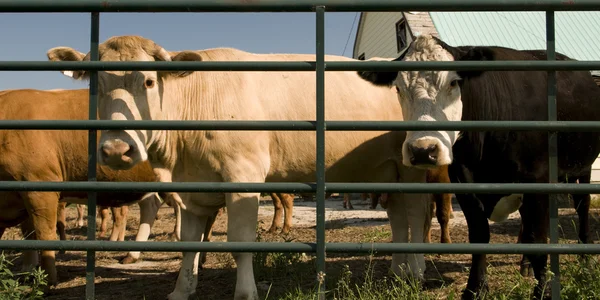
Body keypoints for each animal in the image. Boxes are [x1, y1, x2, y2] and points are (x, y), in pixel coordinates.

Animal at [45, 35, 432, 300]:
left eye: (150, 81)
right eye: (97, 83)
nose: (116, 149)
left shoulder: (243, 177)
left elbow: (241, 242)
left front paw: (245, 292)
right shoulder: (191, 190)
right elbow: (189, 244)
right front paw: (181, 290)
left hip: (412, 165)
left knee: (416, 216)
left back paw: (415, 272)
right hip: (389, 171)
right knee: (399, 218)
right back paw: (397, 271)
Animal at [356, 33, 600, 300]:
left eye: (454, 83)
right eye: (398, 88)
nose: (422, 150)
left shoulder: (538, 180)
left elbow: (539, 237)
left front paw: (543, 291)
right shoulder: (465, 183)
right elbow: (479, 234)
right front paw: (475, 288)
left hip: (582, 169)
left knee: (582, 207)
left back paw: (585, 261)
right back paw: (525, 264)